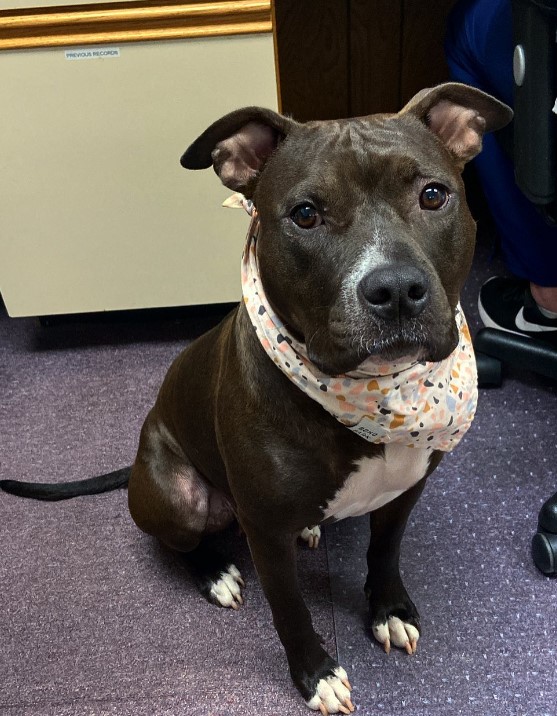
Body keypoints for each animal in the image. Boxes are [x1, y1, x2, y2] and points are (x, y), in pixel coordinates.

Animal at [1, 85, 512, 716]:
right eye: (306, 214)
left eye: (433, 195)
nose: (395, 289)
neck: (375, 394)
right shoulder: (266, 536)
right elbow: (290, 610)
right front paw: (316, 675)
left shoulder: (405, 492)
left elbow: (385, 553)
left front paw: (389, 611)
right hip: (178, 494)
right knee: (181, 540)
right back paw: (216, 572)